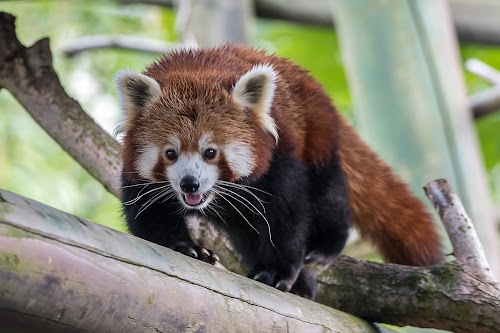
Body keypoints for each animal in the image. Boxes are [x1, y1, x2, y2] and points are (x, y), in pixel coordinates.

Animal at [116, 43, 442, 298]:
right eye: (170, 154)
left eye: (211, 152)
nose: (189, 184)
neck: (192, 69)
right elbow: (150, 215)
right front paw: (186, 247)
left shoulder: (277, 155)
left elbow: (286, 214)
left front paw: (276, 271)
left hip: (318, 133)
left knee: (329, 195)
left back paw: (324, 247)